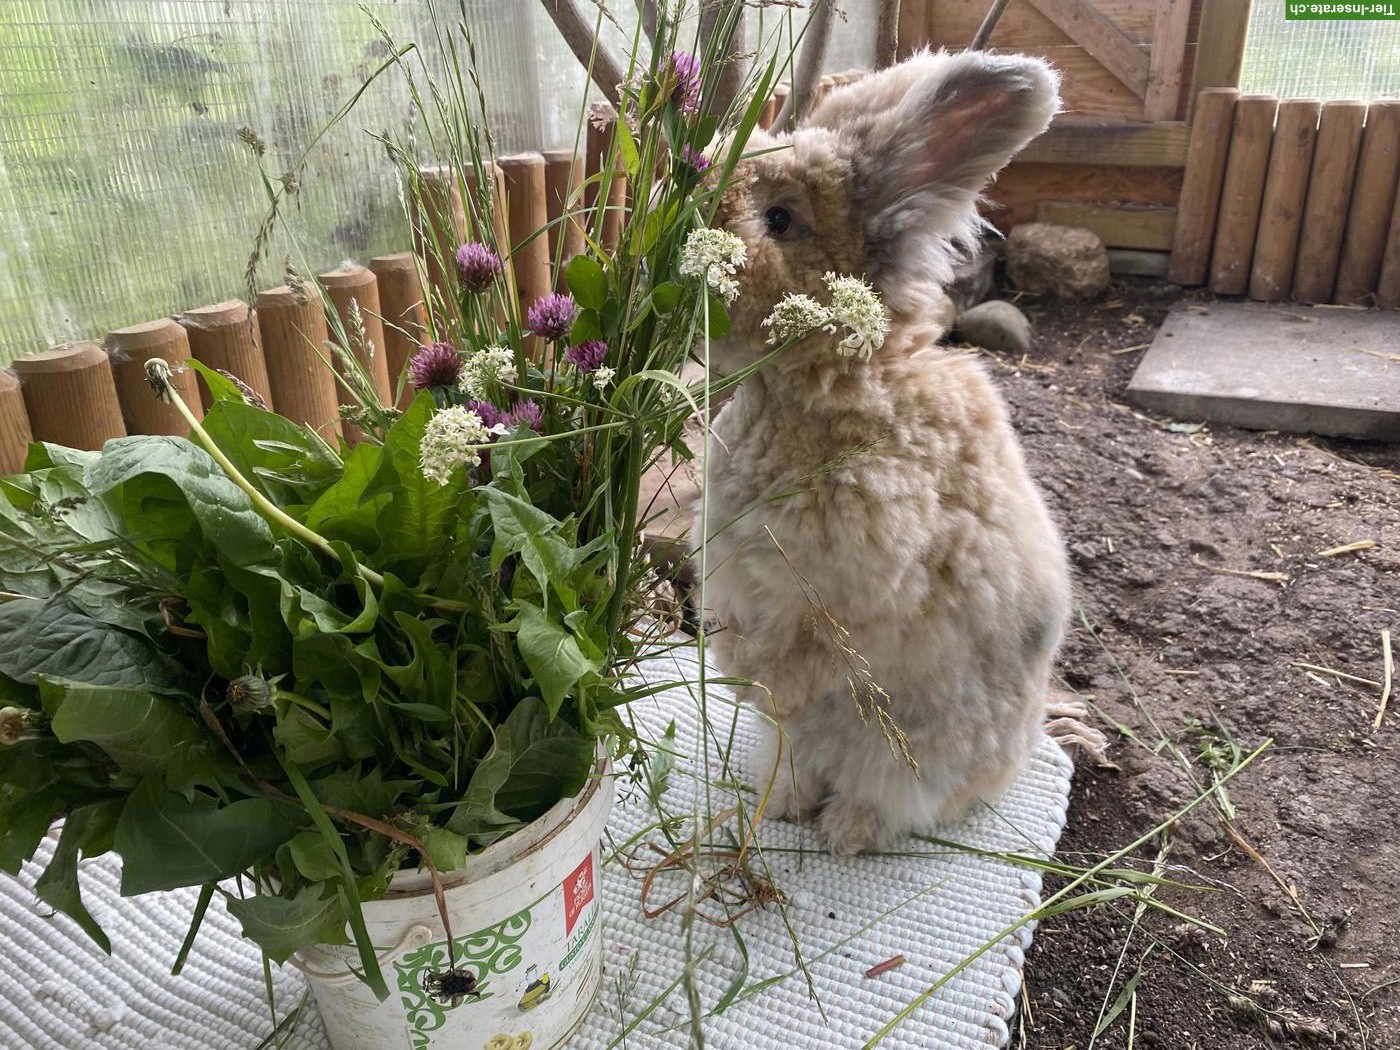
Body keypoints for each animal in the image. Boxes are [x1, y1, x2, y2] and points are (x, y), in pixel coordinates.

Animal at [695, 49, 1072, 855]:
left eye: (780, 219)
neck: (833, 383)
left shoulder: (855, 594)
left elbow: (816, 649)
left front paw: (757, 678)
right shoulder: (741, 578)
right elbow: (747, 630)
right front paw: (736, 669)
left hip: (910, 759)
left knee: (887, 796)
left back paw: (845, 830)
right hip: (811, 748)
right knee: (800, 760)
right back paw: (781, 803)